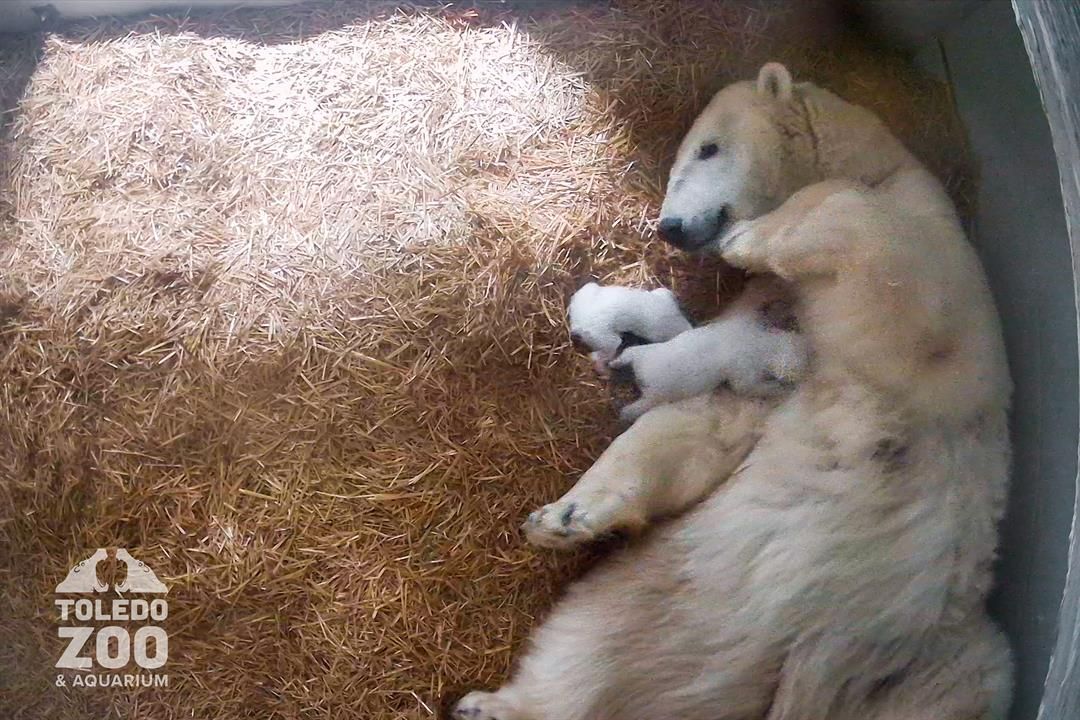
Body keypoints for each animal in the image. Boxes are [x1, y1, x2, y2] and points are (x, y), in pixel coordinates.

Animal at [453, 63, 1013, 720]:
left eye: (708, 147)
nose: (671, 226)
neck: (875, 166)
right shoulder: (763, 337)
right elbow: (707, 421)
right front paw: (564, 515)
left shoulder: (939, 272)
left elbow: (873, 251)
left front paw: (748, 237)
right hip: (671, 594)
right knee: (585, 646)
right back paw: (491, 704)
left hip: (935, 654)